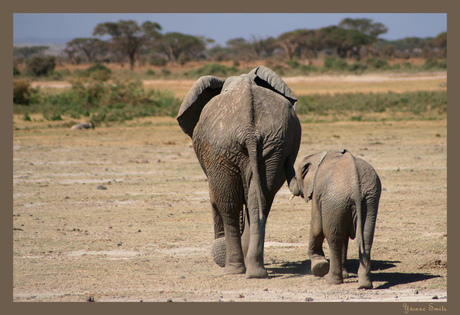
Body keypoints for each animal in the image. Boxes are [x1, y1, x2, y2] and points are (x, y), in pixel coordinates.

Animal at [176, 66, 302, 278]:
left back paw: (233, 269)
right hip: (274, 146)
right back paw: (256, 272)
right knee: (260, 201)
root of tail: (249, 131)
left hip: (221, 149)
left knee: (229, 203)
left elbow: (216, 197)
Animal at [292, 149, 380, 290]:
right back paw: (364, 285)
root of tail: (356, 186)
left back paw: (331, 280)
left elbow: (317, 227)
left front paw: (318, 266)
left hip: (335, 199)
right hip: (369, 199)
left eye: (299, 174)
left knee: (334, 238)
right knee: (366, 238)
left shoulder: (317, 192)